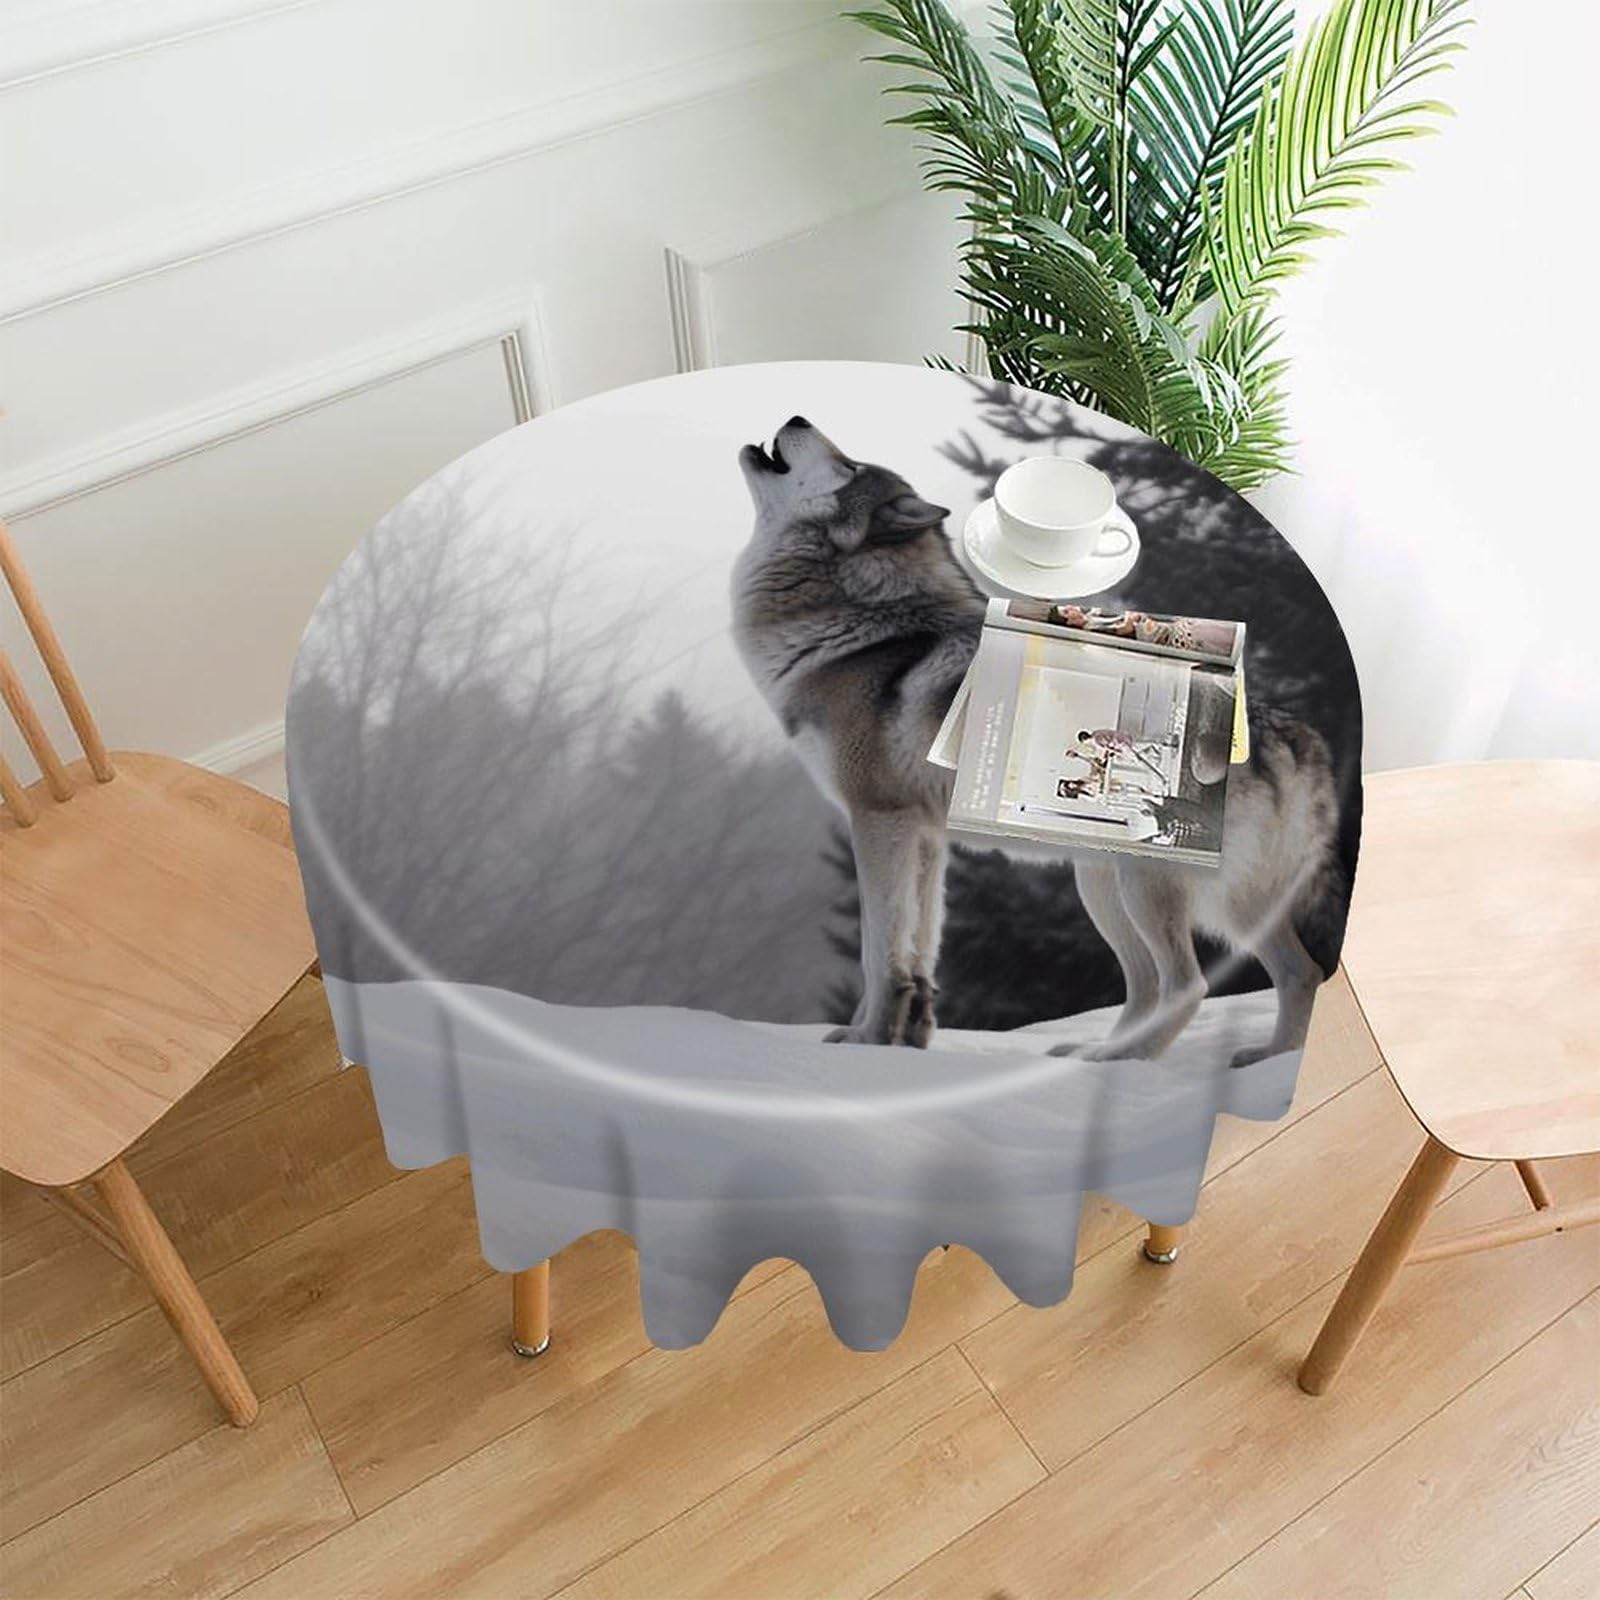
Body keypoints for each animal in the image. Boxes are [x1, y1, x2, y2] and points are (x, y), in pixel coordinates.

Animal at [732, 416, 1343, 1066]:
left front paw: (868, 1043)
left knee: (1191, 984)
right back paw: (1248, 1058)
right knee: (1262, 975)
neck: (858, 628)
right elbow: (918, 952)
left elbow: (880, 953)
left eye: (848, 466)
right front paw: (902, 1041)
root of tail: (1299, 736)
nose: (797, 419)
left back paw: (1121, 1061)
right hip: (1124, 890)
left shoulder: (880, 821)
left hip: (1154, 889)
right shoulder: (925, 837)